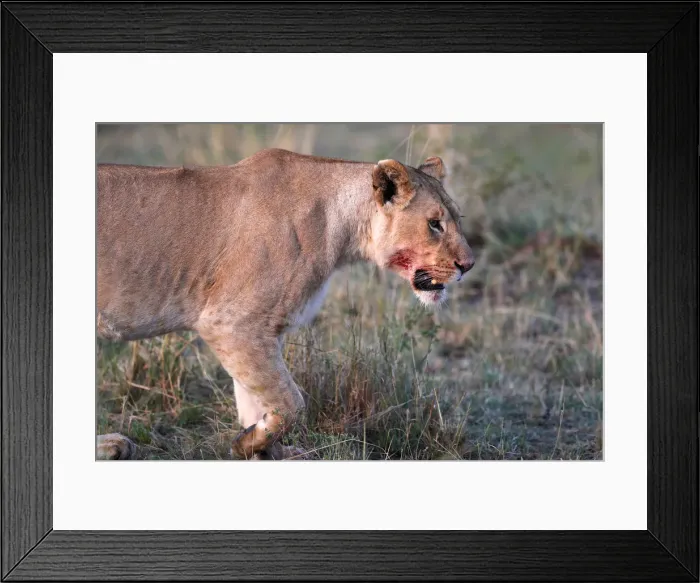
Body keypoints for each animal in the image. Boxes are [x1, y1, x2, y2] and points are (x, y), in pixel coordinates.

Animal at [97, 148, 475, 460]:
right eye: (434, 224)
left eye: (458, 219)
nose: (468, 265)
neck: (342, 229)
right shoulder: (231, 324)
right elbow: (290, 402)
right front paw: (248, 443)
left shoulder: (258, 331)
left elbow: (258, 401)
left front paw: (261, 450)